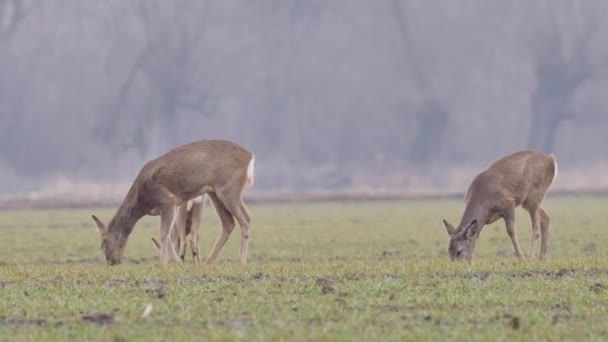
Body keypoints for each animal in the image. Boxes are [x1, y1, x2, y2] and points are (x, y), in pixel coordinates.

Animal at [90, 139, 254, 264]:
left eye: (103, 243)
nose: (112, 261)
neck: (142, 201)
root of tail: (250, 156)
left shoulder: (168, 200)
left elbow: (164, 234)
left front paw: (163, 264)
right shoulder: (165, 208)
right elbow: (168, 236)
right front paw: (177, 263)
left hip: (229, 188)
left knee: (245, 219)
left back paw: (241, 261)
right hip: (215, 192)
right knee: (229, 222)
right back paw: (209, 261)